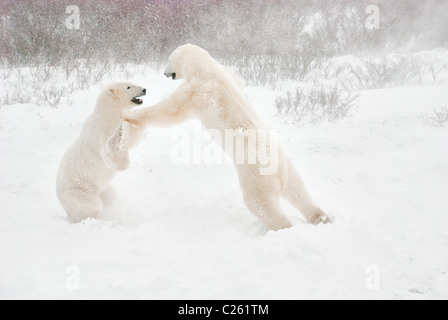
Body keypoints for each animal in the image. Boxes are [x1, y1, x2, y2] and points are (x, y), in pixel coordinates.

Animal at [57, 82, 146, 222]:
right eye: (128, 87)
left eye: (131, 83)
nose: (144, 89)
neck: (108, 113)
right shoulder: (104, 130)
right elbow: (112, 157)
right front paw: (118, 138)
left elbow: (132, 136)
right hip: (80, 192)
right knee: (91, 207)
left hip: (103, 189)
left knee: (110, 195)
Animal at [124, 44, 330, 230]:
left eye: (169, 60)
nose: (165, 73)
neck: (206, 68)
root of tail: (278, 171)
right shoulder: (229, 74)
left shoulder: (197, 90)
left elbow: (170, 110)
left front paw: (132, 116)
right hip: (289, 170)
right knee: (301, 194)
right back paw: (322, 217)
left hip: (257, 178)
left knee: (261, 204)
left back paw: (283, 227)